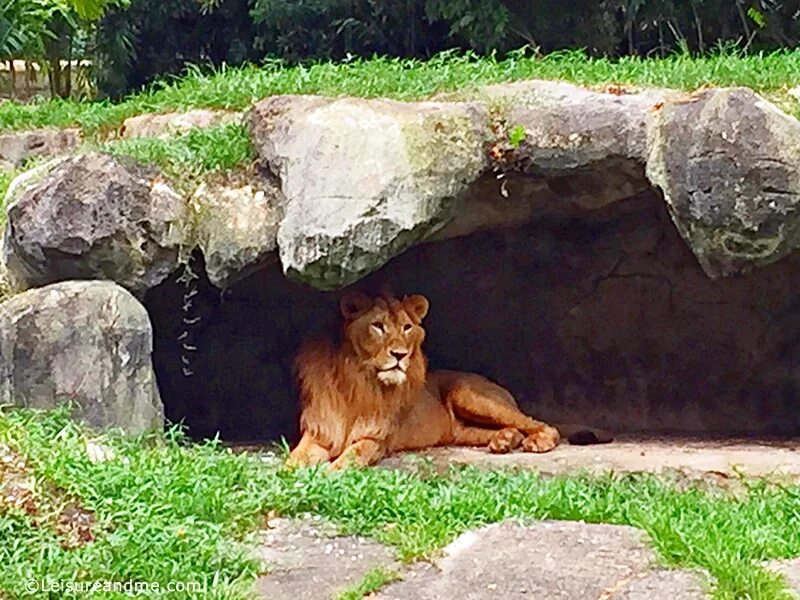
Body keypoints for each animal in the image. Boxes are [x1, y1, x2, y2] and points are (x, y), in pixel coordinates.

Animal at [290, 292, 608, 472]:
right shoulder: (318, 433)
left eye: (407, 327)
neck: (358, 381)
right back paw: (504, 440)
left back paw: (536, 440)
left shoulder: (376, 439)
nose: (400, 355)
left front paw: (330, 473)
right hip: (460, 430)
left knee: (542, 424)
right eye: (378, 326)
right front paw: (292, 474)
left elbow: (352, 456)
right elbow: (293, 460)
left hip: (468, 394)